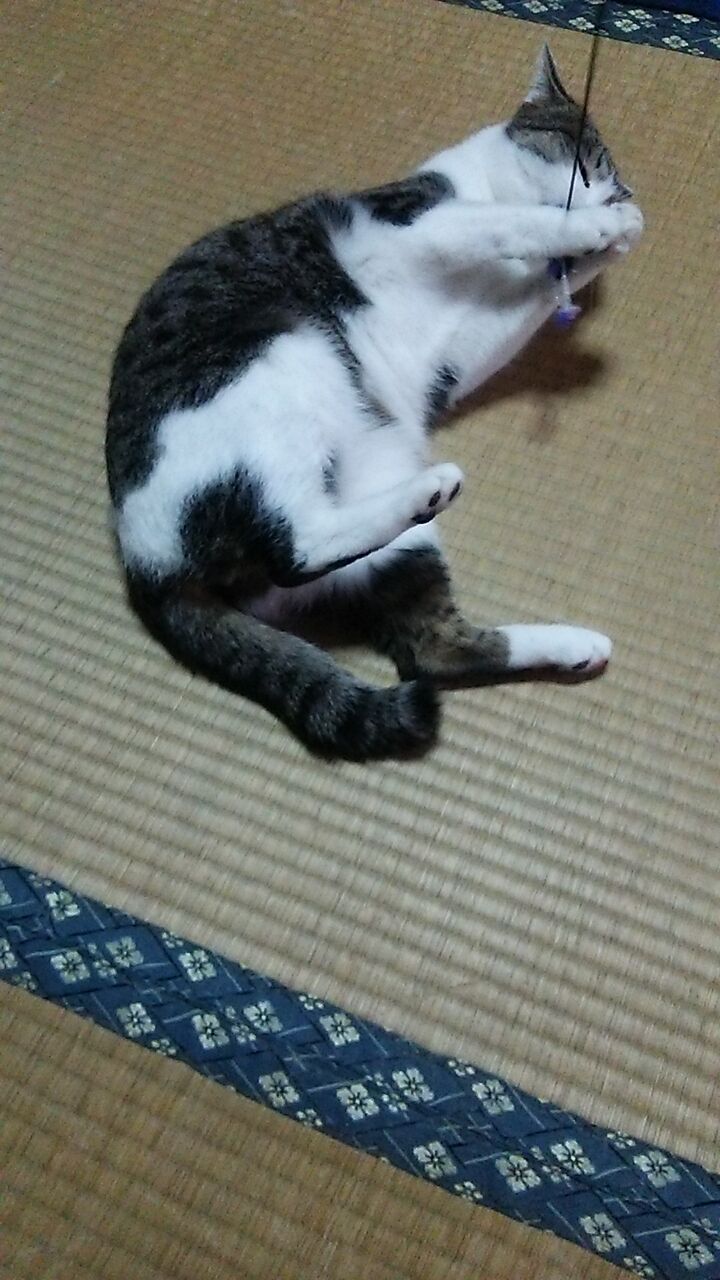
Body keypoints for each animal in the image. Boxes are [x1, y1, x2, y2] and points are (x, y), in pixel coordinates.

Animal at [106, 45, 643, 761]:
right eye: (584, 165)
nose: (609, 197)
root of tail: (149, 567)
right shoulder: (422, 221)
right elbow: (514, 223)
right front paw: (600, 226)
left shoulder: (466, 350)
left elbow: (528, 299)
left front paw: (610, 241)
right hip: (281, 354)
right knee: (295, 546)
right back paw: (432, 489)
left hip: (382, 488)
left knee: (433, 651)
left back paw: (570, 641)